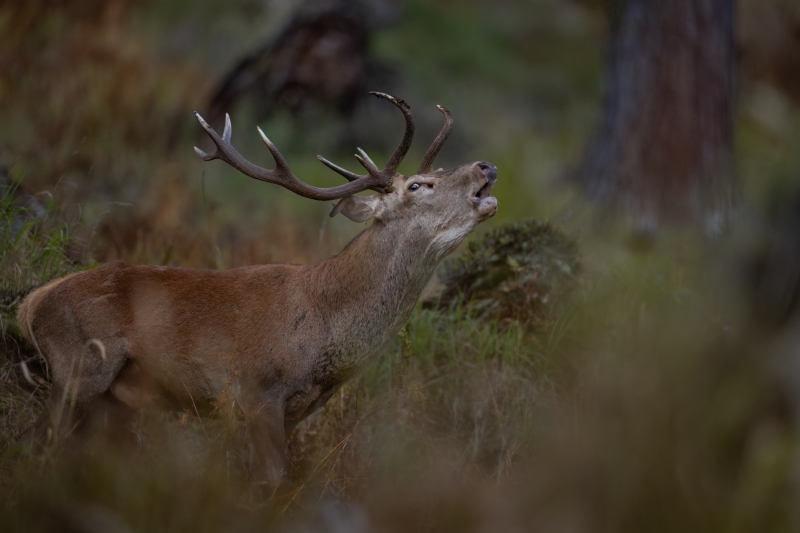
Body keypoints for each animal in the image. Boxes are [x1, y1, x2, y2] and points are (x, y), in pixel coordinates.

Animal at [17, 92, 498, 486]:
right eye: (418, 185)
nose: (486, 165)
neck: (324, 334)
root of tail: (32, 304)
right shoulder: (256, 389)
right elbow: (275, 480)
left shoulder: (298, 409)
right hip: (78, 366)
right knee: (38, 439)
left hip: (114, 399)